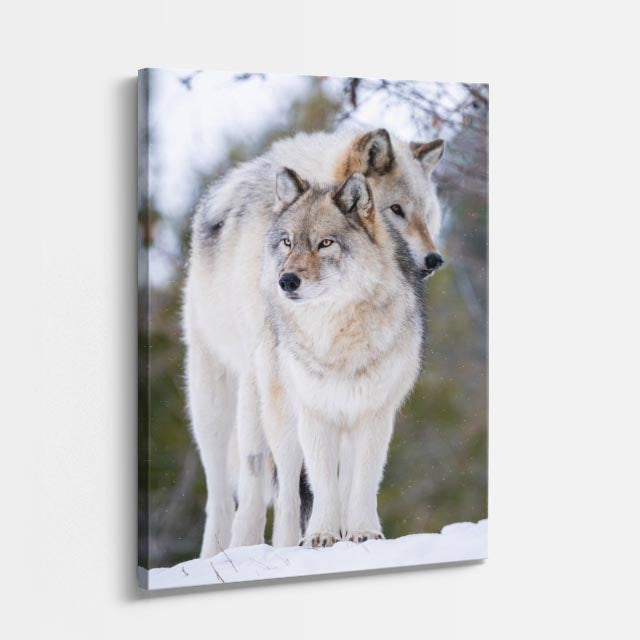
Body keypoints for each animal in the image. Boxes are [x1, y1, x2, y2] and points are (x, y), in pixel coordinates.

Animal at [183, 129, 445, 557]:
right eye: (396, 210)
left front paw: (348, 530)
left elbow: (346, 474)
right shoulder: (275, 378)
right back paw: (226, 549)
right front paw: (274, 542)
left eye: (426, 214)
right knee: (228, 486)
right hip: (215, 399)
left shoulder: (359, 397)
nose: (434, 260)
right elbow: (273, 474)